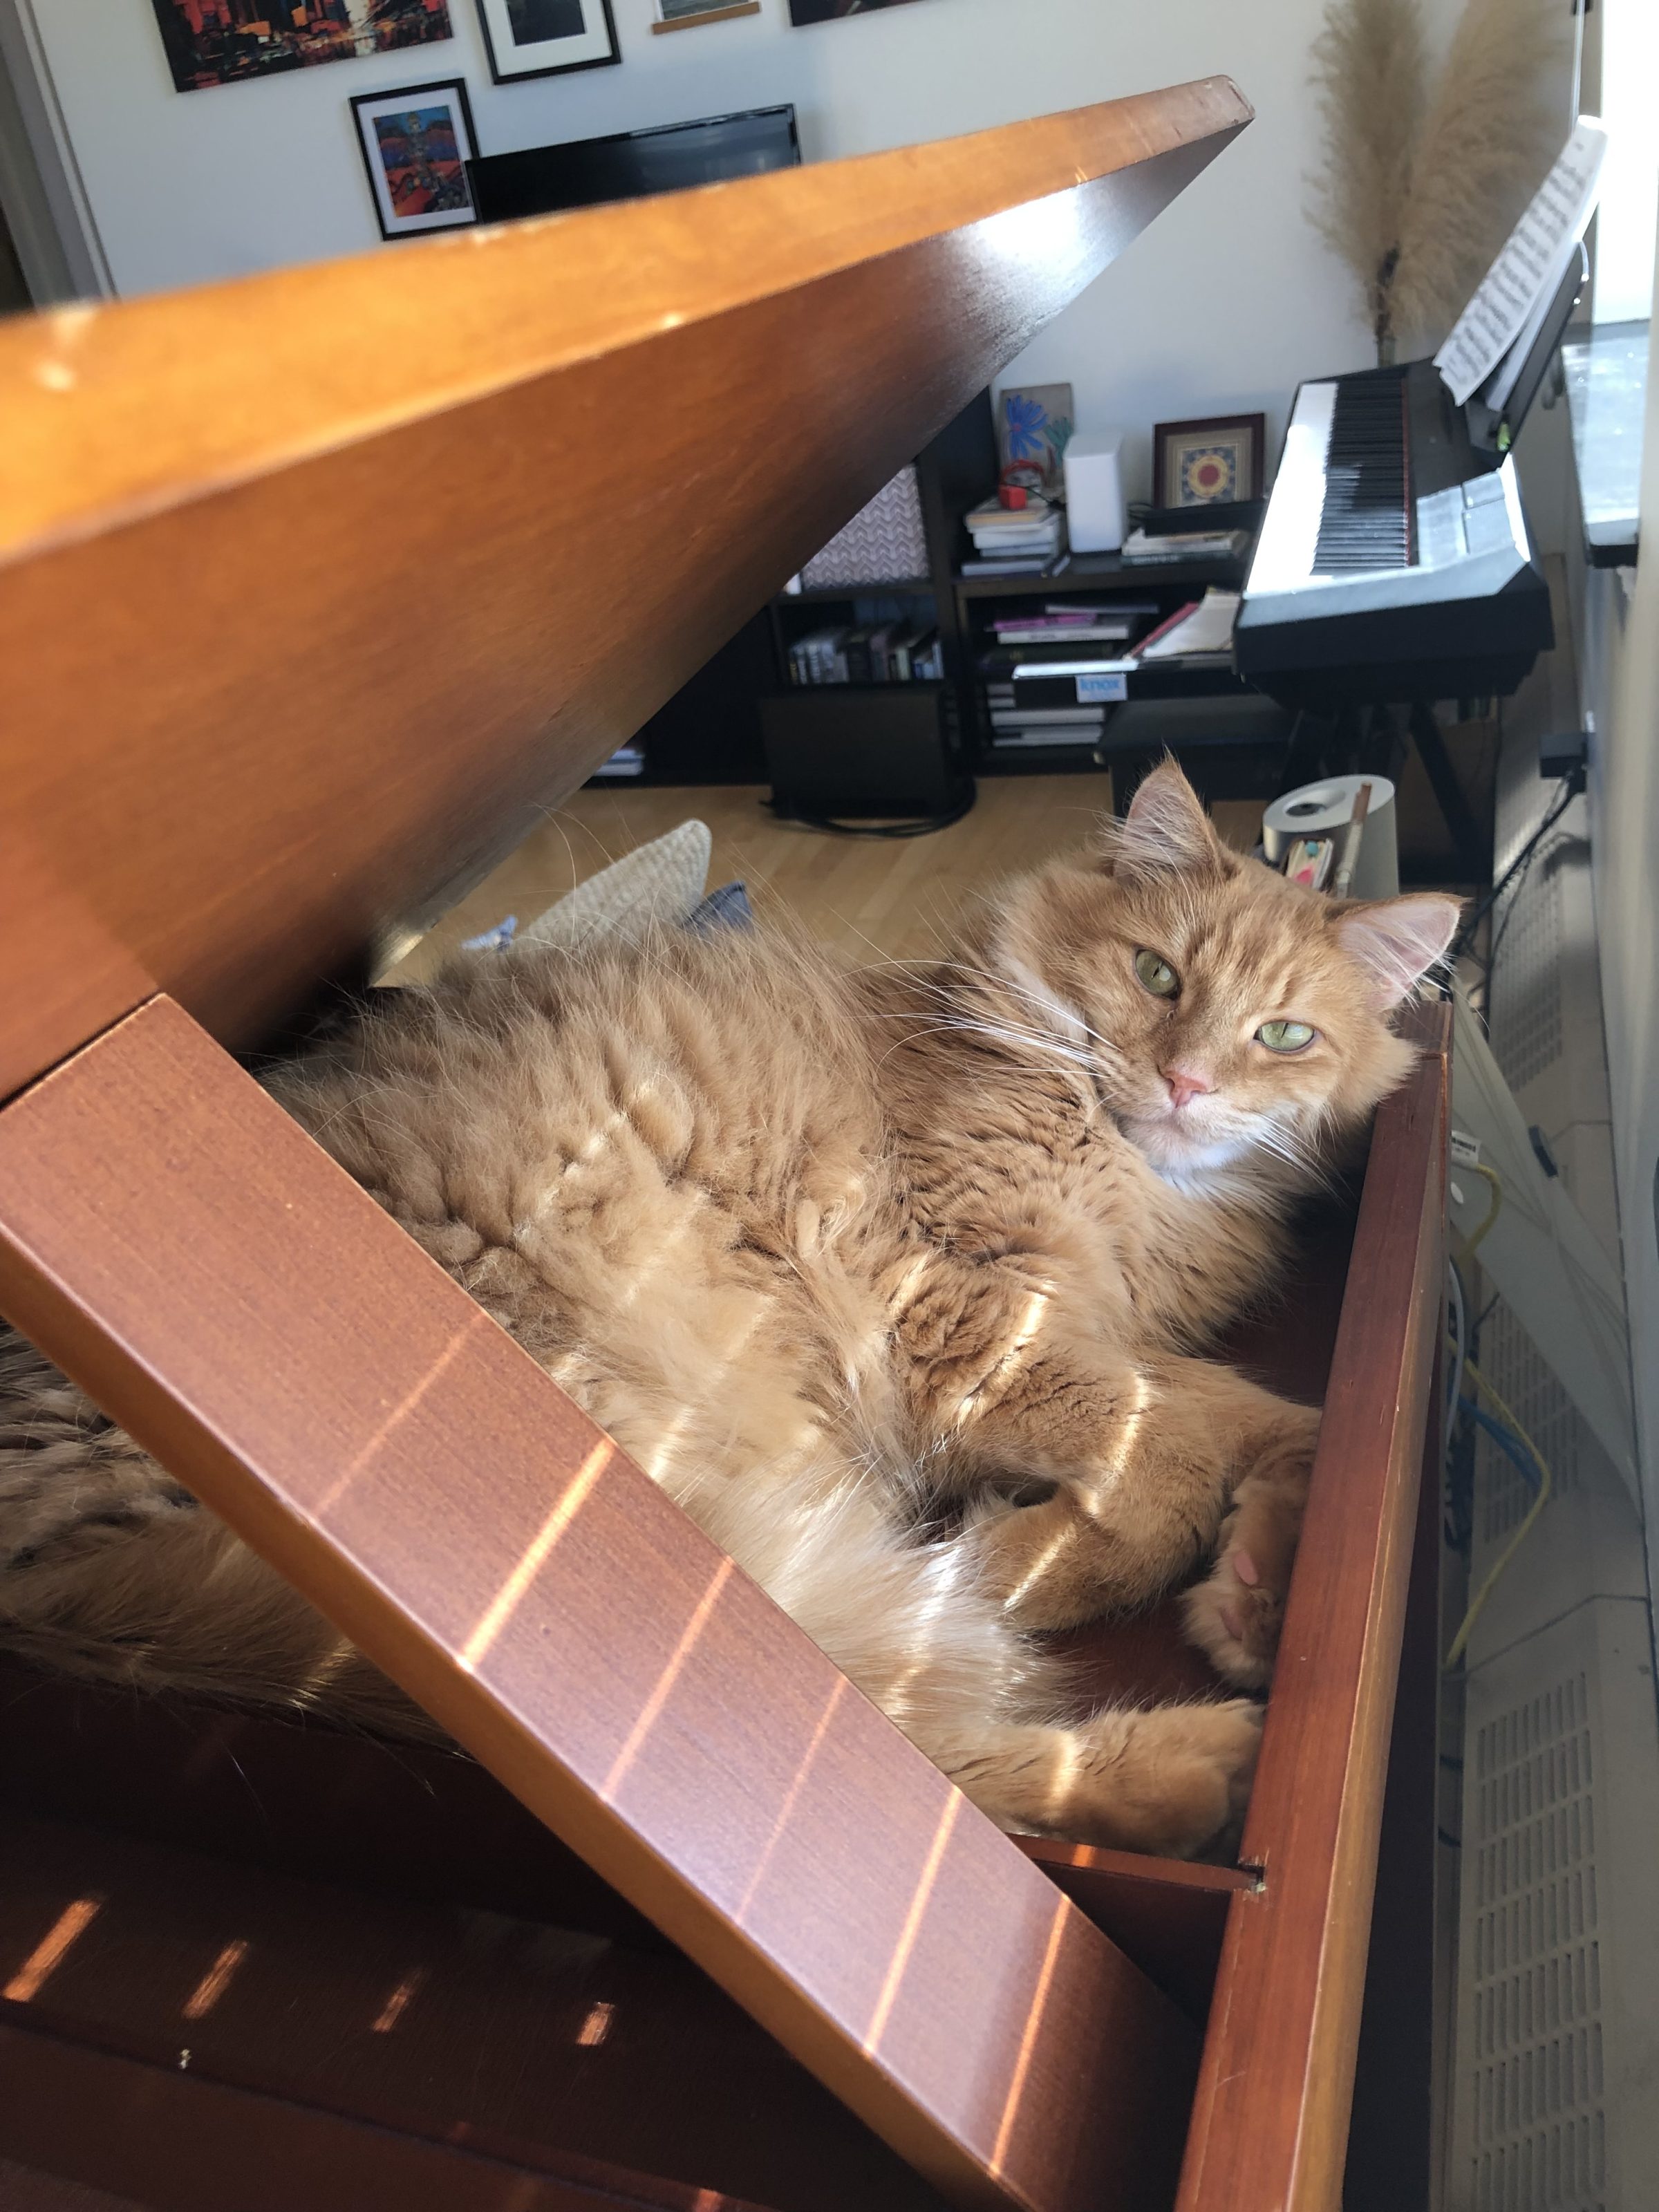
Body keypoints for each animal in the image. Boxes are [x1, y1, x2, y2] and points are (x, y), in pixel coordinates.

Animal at [0, 769, 1451, 1858]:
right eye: (1157, 977)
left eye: (1283, 1037)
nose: (1189, 1083)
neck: (1128, 1180)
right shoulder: (958, 1312)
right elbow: (1162, 1468)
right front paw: (1045, 1559)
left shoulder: (1097, 1337)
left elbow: (1270, 1417)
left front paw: (1257, 1585)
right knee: (889, 1768)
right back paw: (1172, 1761)